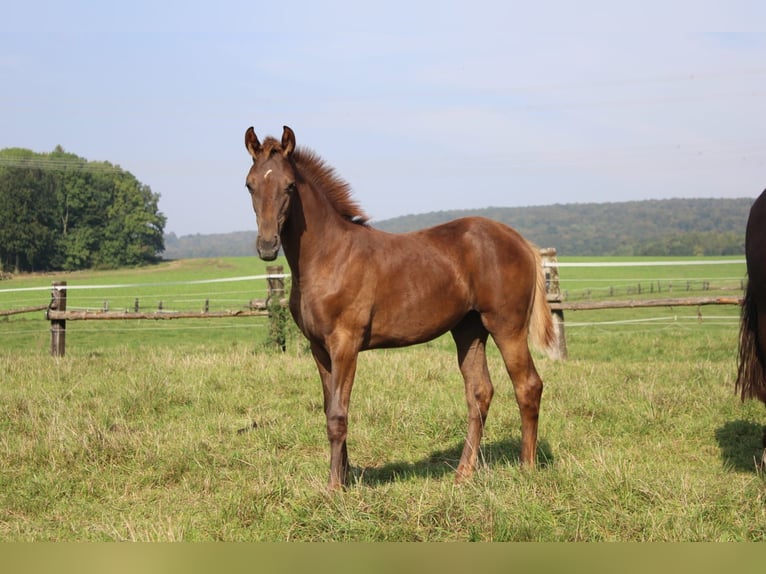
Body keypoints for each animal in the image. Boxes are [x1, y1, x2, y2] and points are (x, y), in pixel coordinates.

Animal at [244, 125, 560, 490]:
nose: (267, 246)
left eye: (290, 185)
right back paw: (462, 475)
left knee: (528, 386)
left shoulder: (345, 344)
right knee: (480, 392)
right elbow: (330, 408)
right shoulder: (318, 348)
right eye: (250, 184)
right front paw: (344, 476)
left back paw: (527, 468)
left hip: (507, 326)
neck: (329, 256)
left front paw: (335, 488)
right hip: (468, 330)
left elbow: (338, 415)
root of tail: (519, 240)